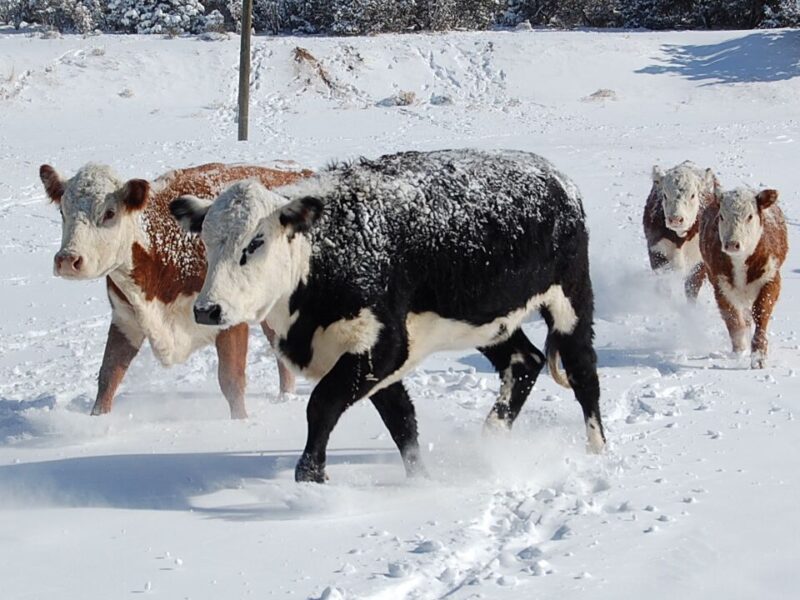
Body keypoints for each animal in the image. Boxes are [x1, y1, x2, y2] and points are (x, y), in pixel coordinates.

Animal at [40, 163, 310, 418]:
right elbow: (109, 375)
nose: (67, 260)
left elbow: (231, 381)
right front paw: (97, 420)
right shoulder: (125, 317)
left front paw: (240, 423)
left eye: (109, 213)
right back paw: (285, 397)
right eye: (63, 211)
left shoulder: (227, 317)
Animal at [170, 150, 608, 482]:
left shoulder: (385, 343)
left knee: (584, 372)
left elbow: (322, 404)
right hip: (491, 321)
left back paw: (597, 450)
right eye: (205, 240)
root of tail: (555, 176)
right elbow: (401, 418)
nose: (207, 309)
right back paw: (492, 437)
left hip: (570, 299)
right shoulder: (374, 359)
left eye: (255, 242)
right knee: (525, 360)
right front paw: (420, 481)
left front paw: (310, 476)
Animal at [640, 162, 720, 298]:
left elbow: (691, 290)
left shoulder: (698, 263)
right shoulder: (657, 252)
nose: (676, 219)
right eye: (665, 195)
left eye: (693, 195)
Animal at [700, 188, 788, 368]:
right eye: (721, 216)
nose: (732, 244)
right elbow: (732, 318)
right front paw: (740, 350)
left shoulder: (771, 279)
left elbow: (761, 311)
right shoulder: (720, 285)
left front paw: (758, 357)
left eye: (750, 216)